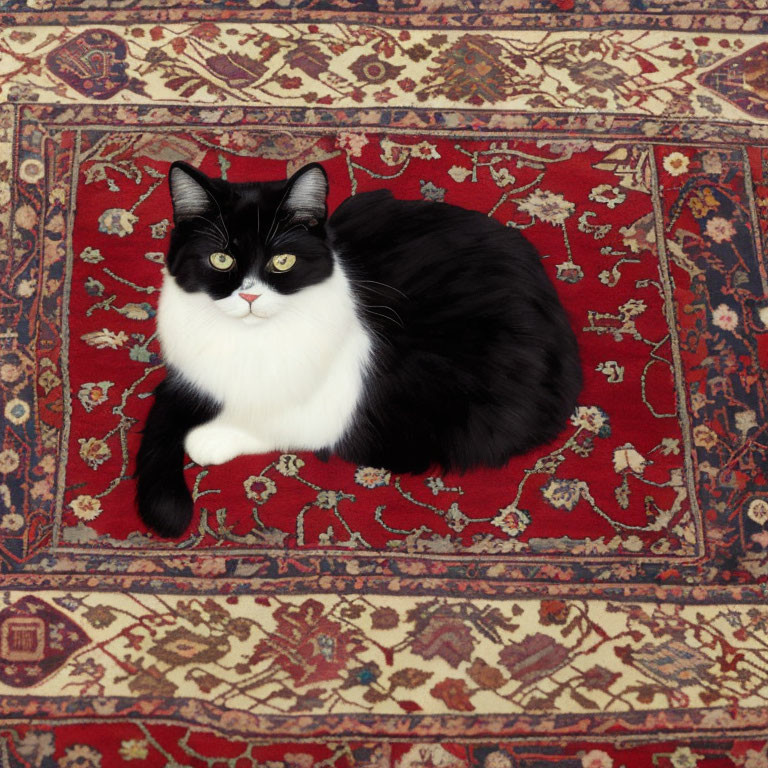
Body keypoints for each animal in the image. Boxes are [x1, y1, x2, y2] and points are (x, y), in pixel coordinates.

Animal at [136, 160, 584, 536]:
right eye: (220, 260)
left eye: (282, 261)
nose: (249, 297)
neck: (250, 342)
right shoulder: (189, 378)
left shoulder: (339, 407)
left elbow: (272, 423)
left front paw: (210, 439)